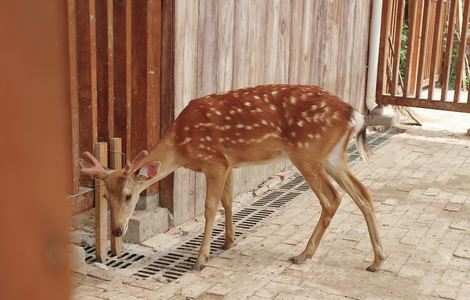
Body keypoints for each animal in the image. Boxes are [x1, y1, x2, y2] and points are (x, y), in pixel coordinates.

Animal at [80, 84, 386, 272]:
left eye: (129, 195)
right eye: (105, 195)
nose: (116, 230)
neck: (182, 146)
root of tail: (354, 114)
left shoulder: (214, 162)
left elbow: (210, 208)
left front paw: (201, 258)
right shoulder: (229, 163)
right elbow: (227, 201)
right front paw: (228, 241)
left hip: (307, 153)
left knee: (332, 198)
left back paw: (302, 255)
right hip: (333, 156)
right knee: (364, 193)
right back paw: (377, 260)